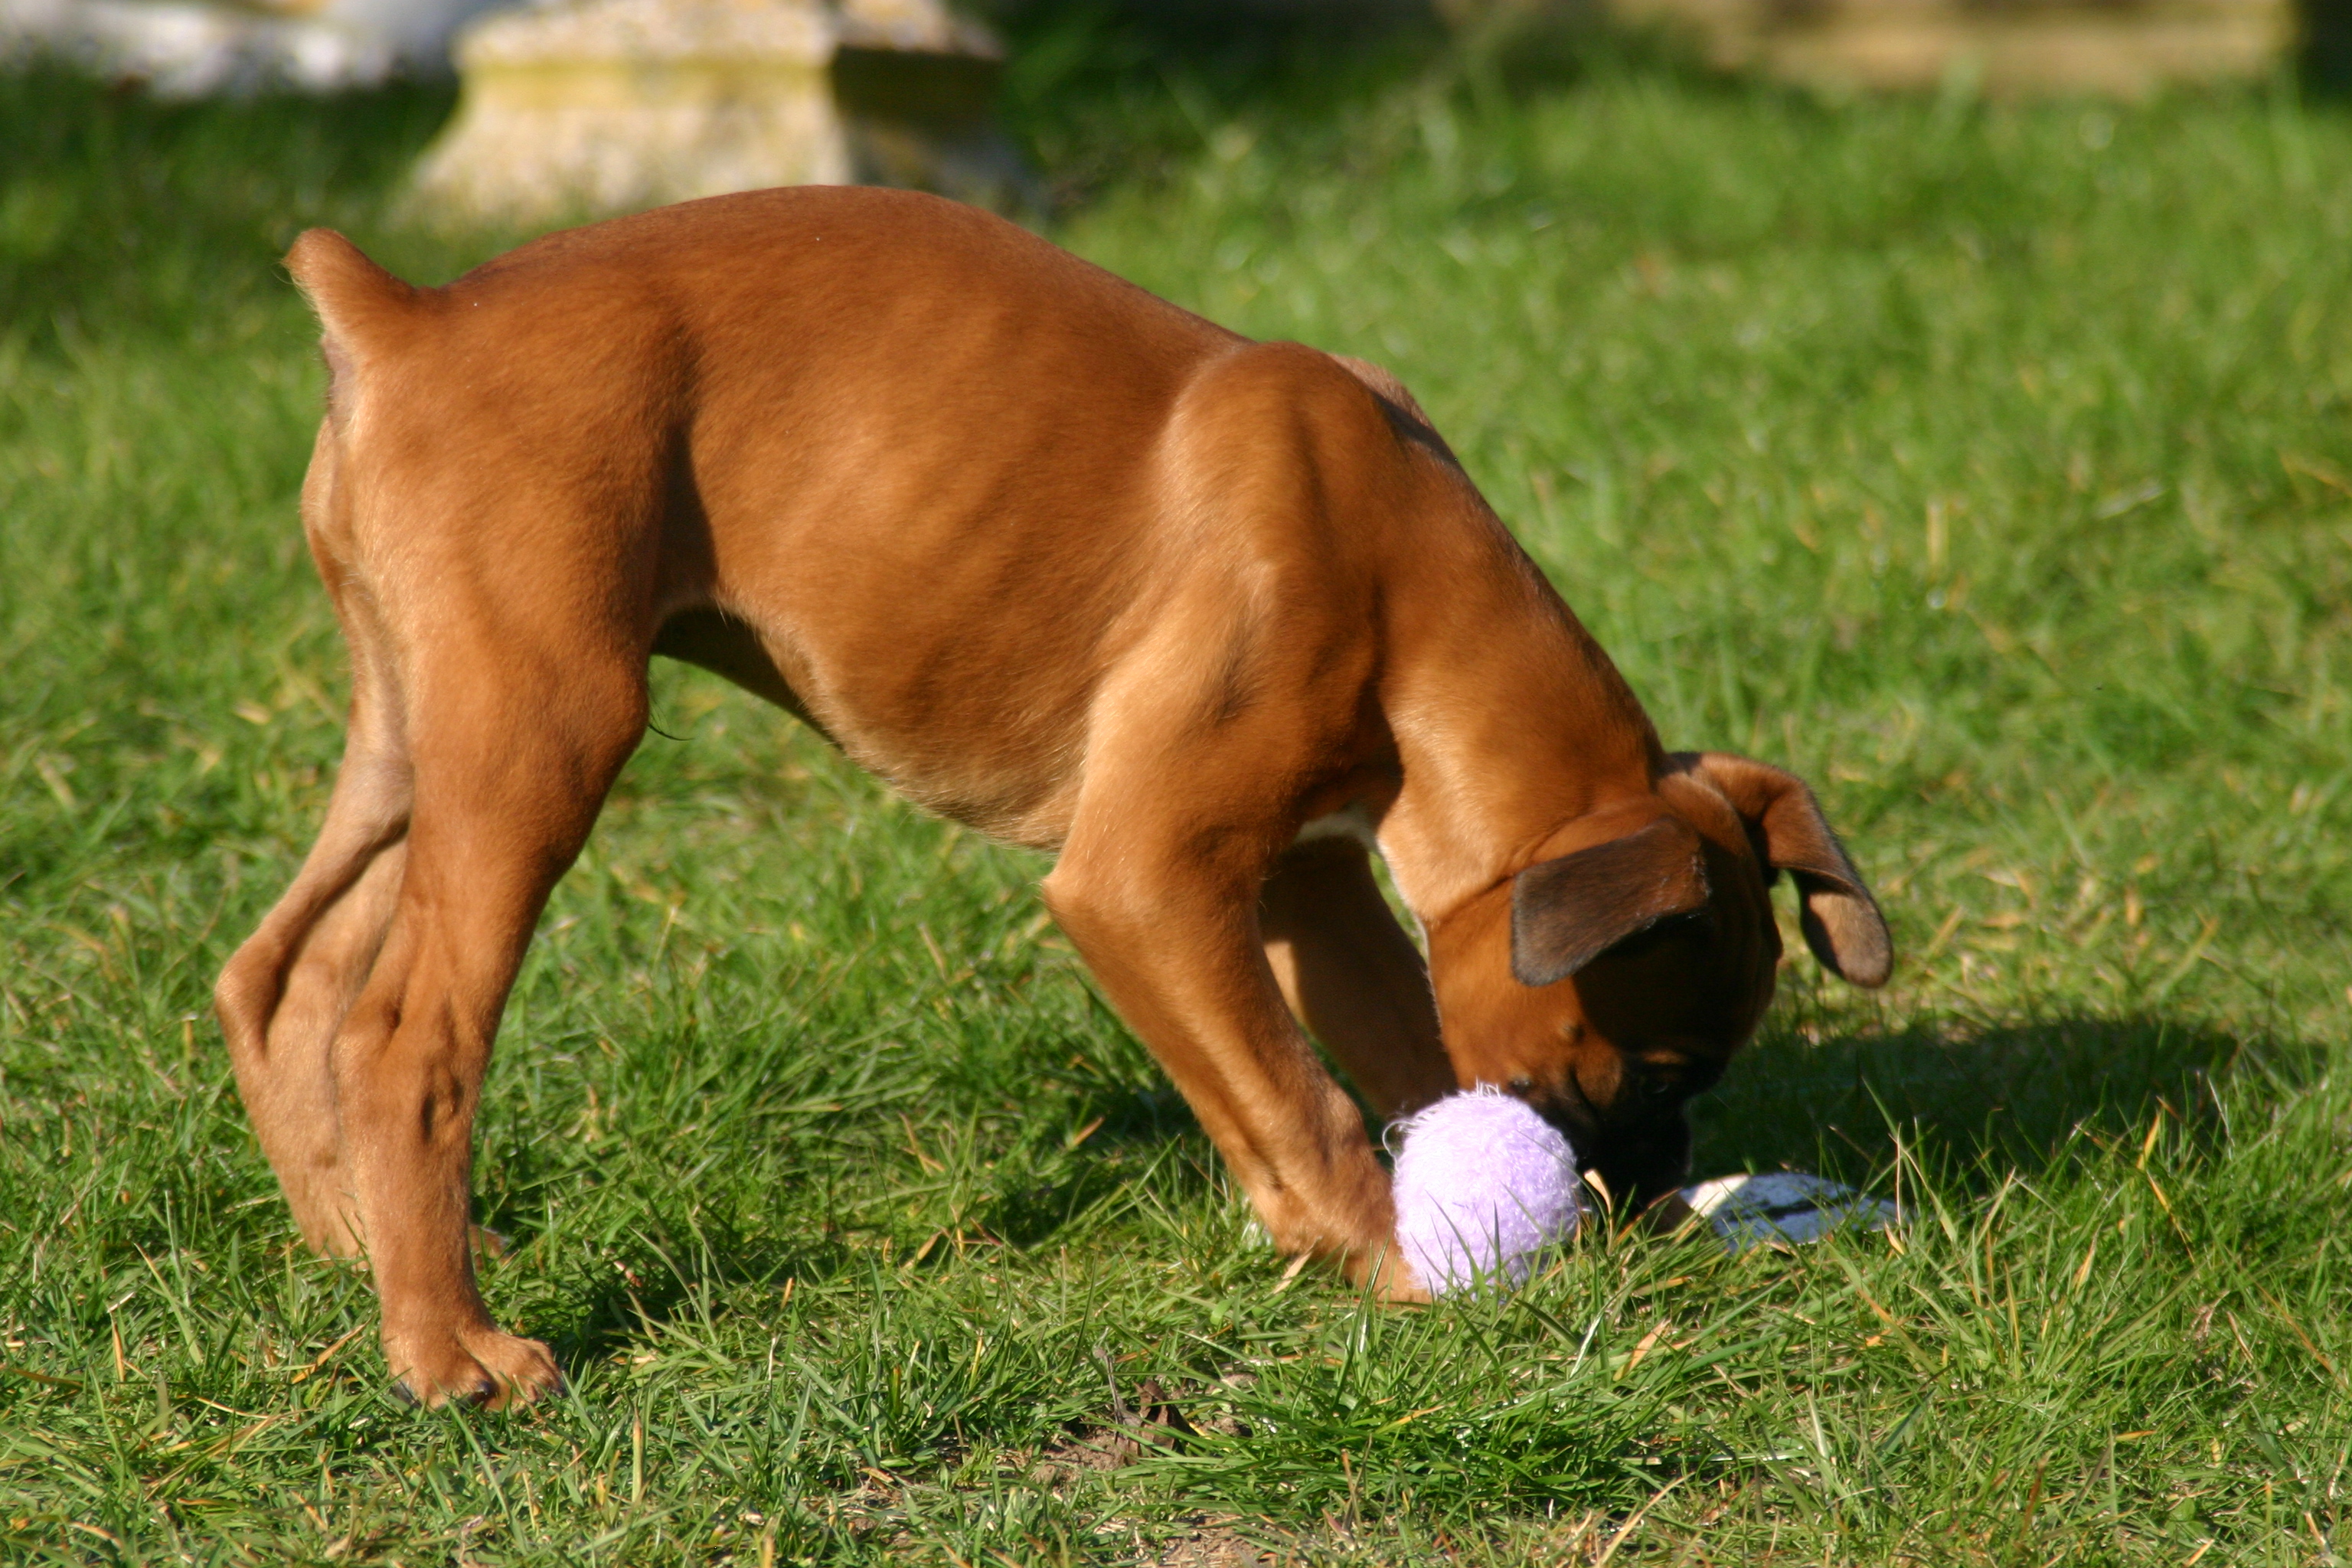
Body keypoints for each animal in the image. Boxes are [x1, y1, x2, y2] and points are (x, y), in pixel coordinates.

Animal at [216, 185, 1890, 1410]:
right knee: (404, 1030)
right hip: (541, 734)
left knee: (287, 972)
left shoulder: (1307, 890)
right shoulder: (1147, 879)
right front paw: (1401, 1260)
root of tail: (406, 317)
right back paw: (450, 1348)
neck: (1405, 580)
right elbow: (1298, 1103)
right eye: (1648, 1065)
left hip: (418, 737)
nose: (1647, 1190)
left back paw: (364, 1247)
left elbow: (1401, 1052)